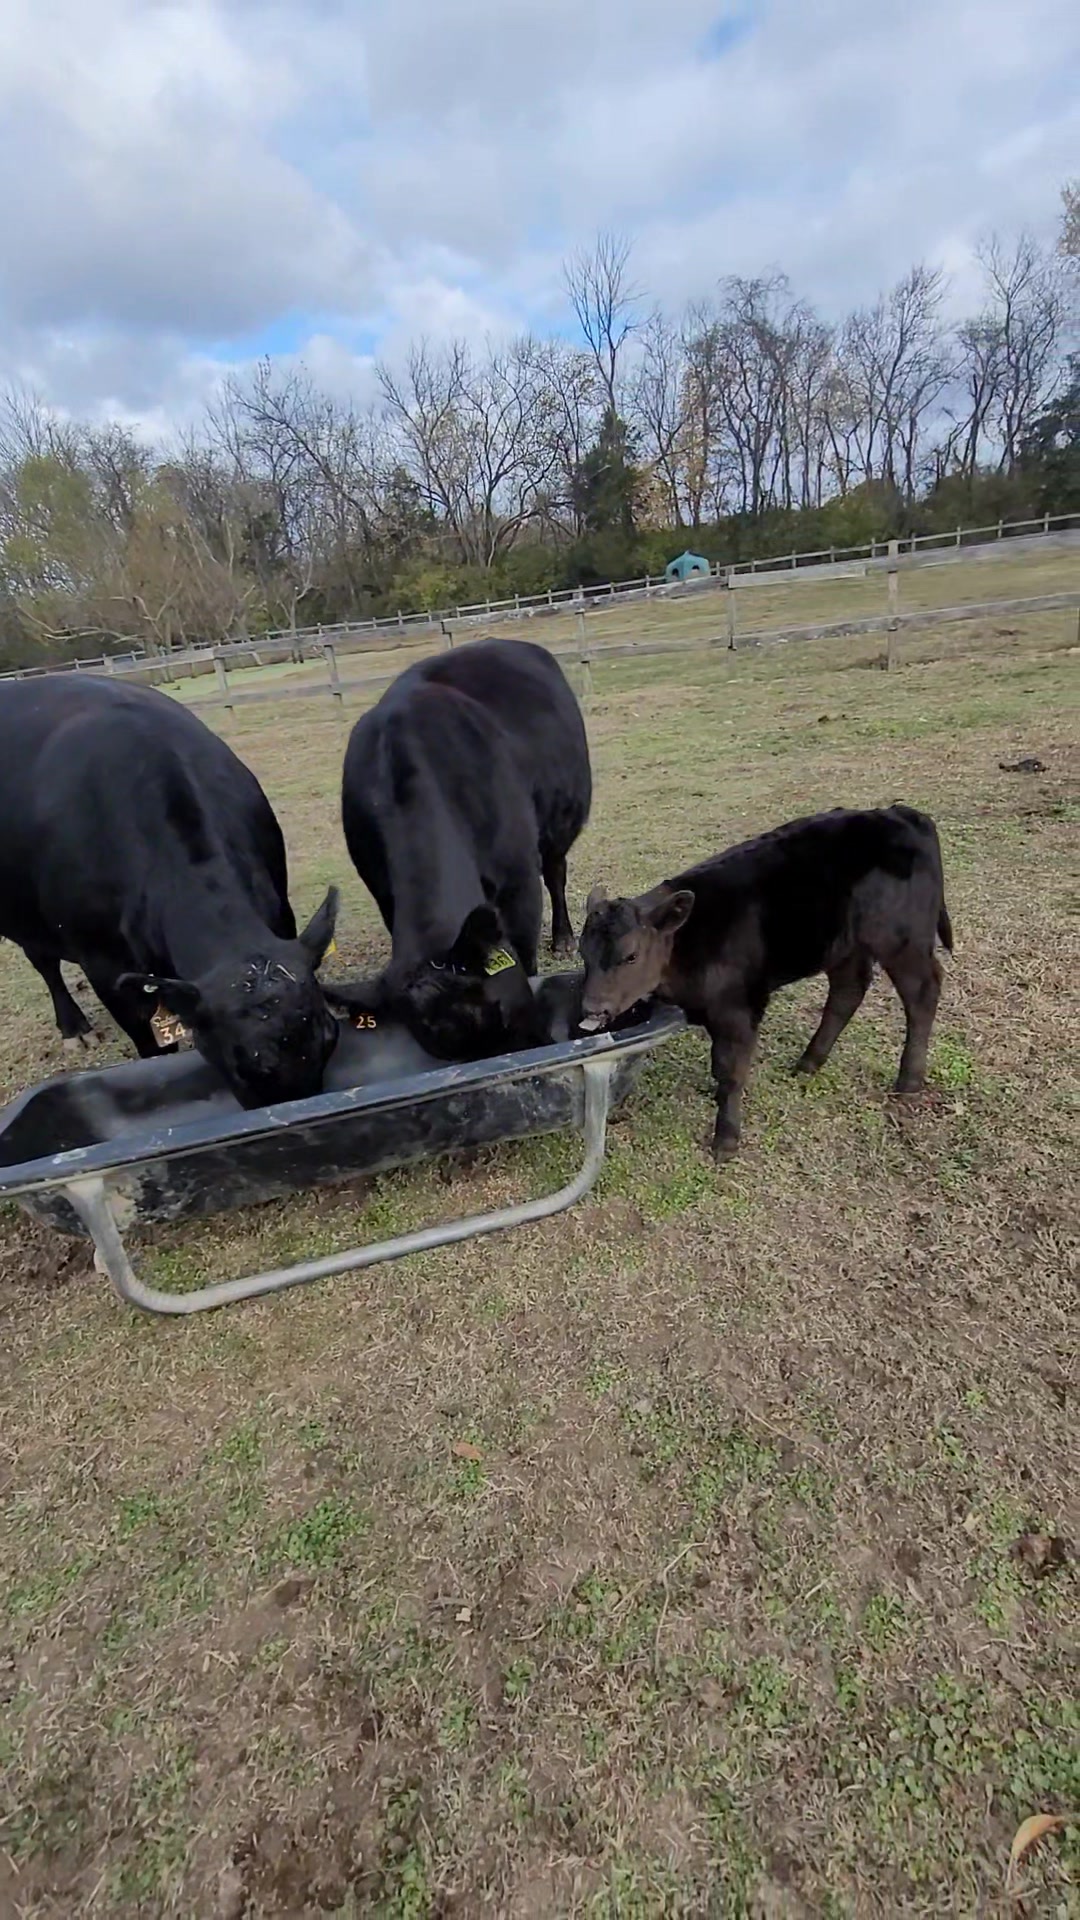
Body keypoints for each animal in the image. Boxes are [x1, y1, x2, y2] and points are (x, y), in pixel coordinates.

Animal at [0, 675, 340, 1110]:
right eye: (244, 1066)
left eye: (330, 1039)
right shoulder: (103, 965)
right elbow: (148, 1043)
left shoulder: (281, 913)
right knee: (44, 962)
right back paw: (73, 1028)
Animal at [339, 638, 591, 1057]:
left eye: (501, 1012)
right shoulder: (383, 893)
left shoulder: (520, 885)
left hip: (559, 824)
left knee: (556, 874)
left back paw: (563, 938)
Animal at [576, 805, 953, 1160]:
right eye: (583, 952)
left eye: (631, 956)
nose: (592, 1007)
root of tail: (899, 813)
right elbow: (720, 1063)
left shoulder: (740, 1006)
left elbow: (731, 1069)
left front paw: (726, 1138)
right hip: (844, 946)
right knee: (848, 990)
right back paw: (809, 1062)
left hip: (901, 939)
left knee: (922, 992)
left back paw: (908, 1081)